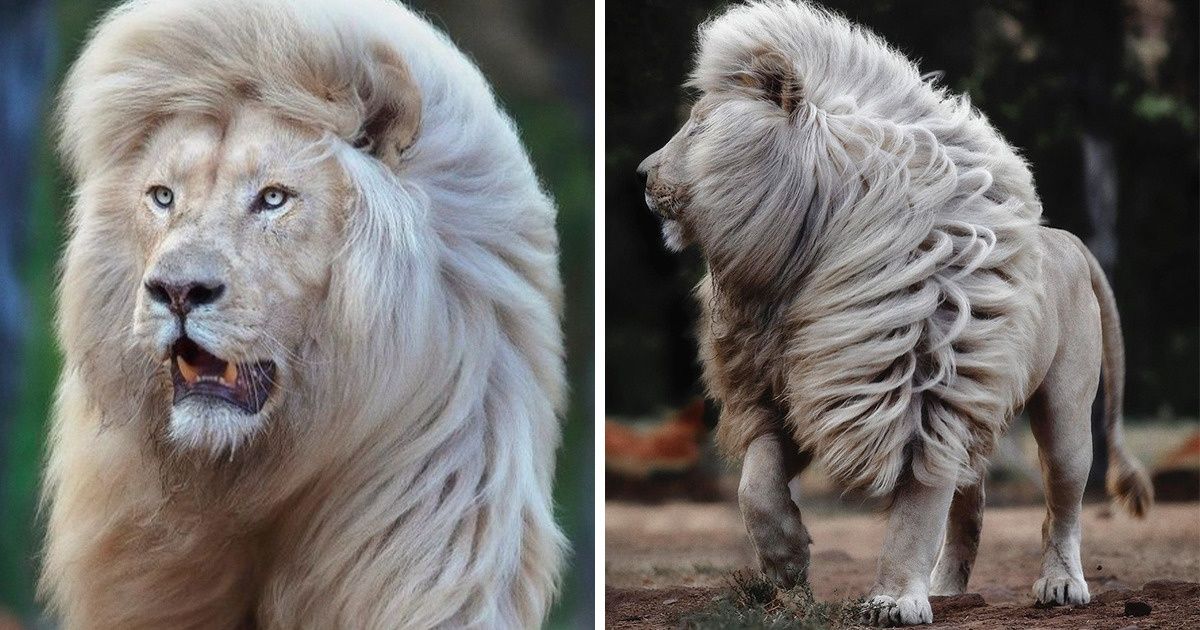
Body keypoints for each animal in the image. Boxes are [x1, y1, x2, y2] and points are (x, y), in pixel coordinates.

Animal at [637, 1, 1153, 625]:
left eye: (699, 127)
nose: (641, 174)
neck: (796, 267)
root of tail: (1070, 241)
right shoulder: (790, 390)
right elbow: (753, 490)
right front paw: (787, 567)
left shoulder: (925, 400)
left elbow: (914, 515)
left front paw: (894, 600)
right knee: (972, 502)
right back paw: (947, 588)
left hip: (1065, 411)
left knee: (1063, 504)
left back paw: (1060, 585)